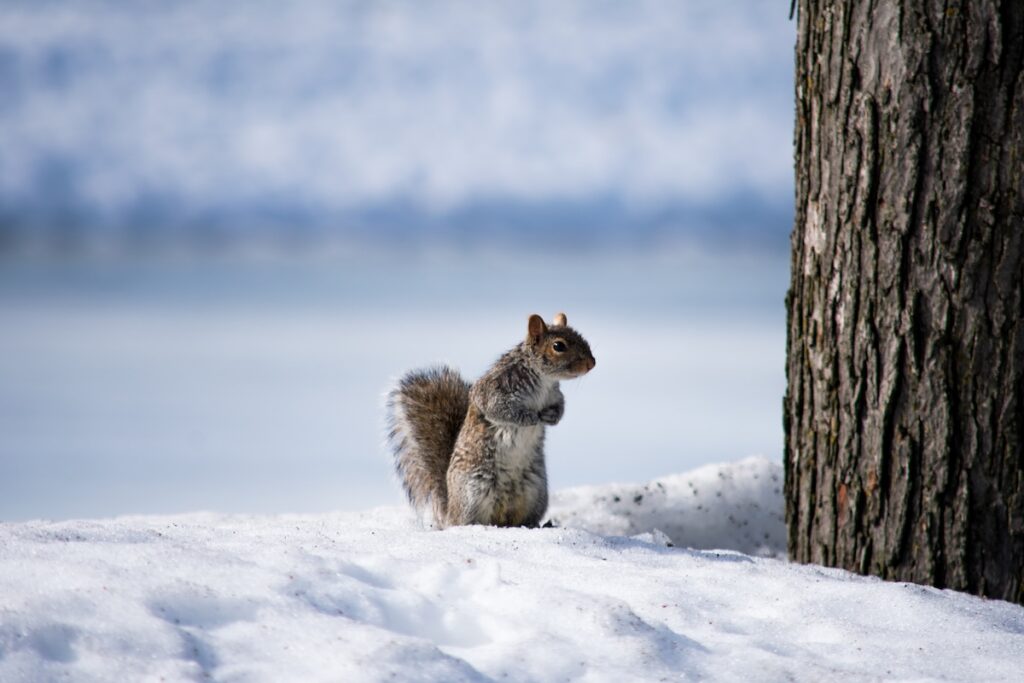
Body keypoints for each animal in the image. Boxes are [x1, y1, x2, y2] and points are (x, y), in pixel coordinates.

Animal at [386, 312, 595, 529]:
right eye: (559, 346)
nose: (592, 363)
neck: (544, 380)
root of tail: (450, 511)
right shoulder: (494, 390)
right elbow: (499, 410)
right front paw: (529, 417)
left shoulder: (555, 395)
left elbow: (560, 407)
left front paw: (551, 417)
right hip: (473, 492)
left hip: (535, 491)